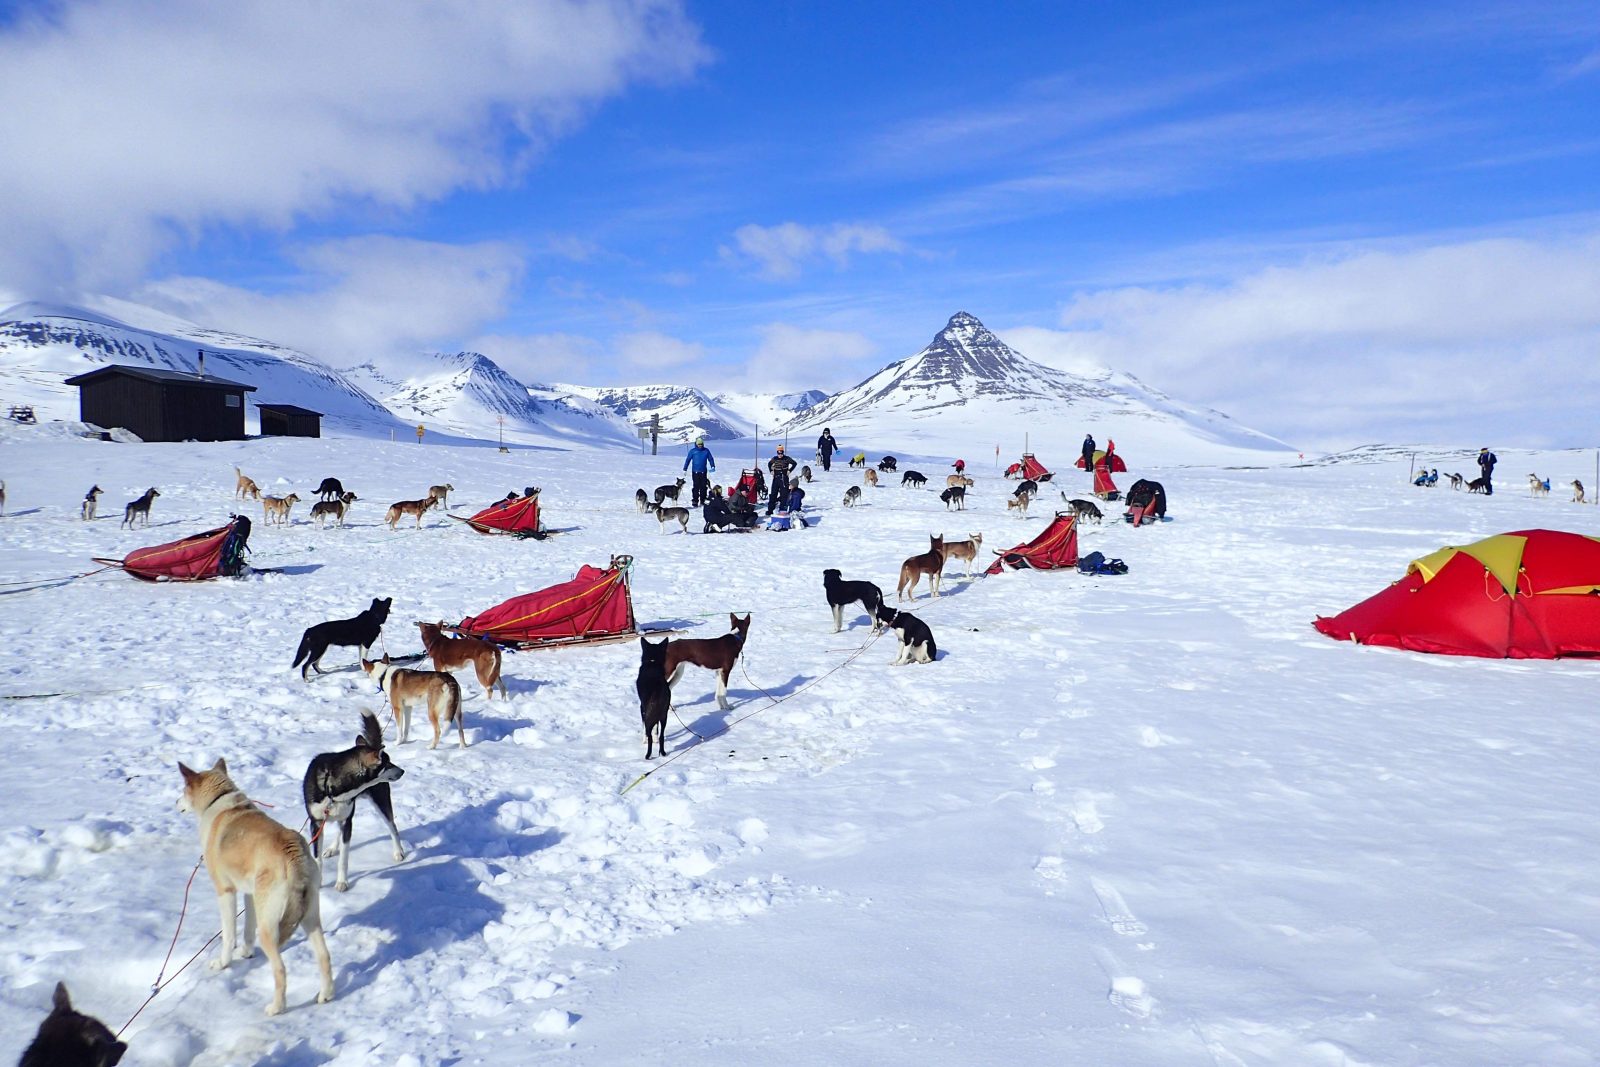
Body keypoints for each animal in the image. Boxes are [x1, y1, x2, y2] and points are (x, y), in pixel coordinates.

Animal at [302, 710, 406, 895]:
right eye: (387, 763)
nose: (402, 771)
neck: (332, 789)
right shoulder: (316, 823)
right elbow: (317, 858)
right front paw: (318, 882)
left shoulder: (347, 820)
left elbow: (344, 859)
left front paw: (342, 882)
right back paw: (332, 848)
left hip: (380, 802)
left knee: (392, 827)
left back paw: (398, 851)